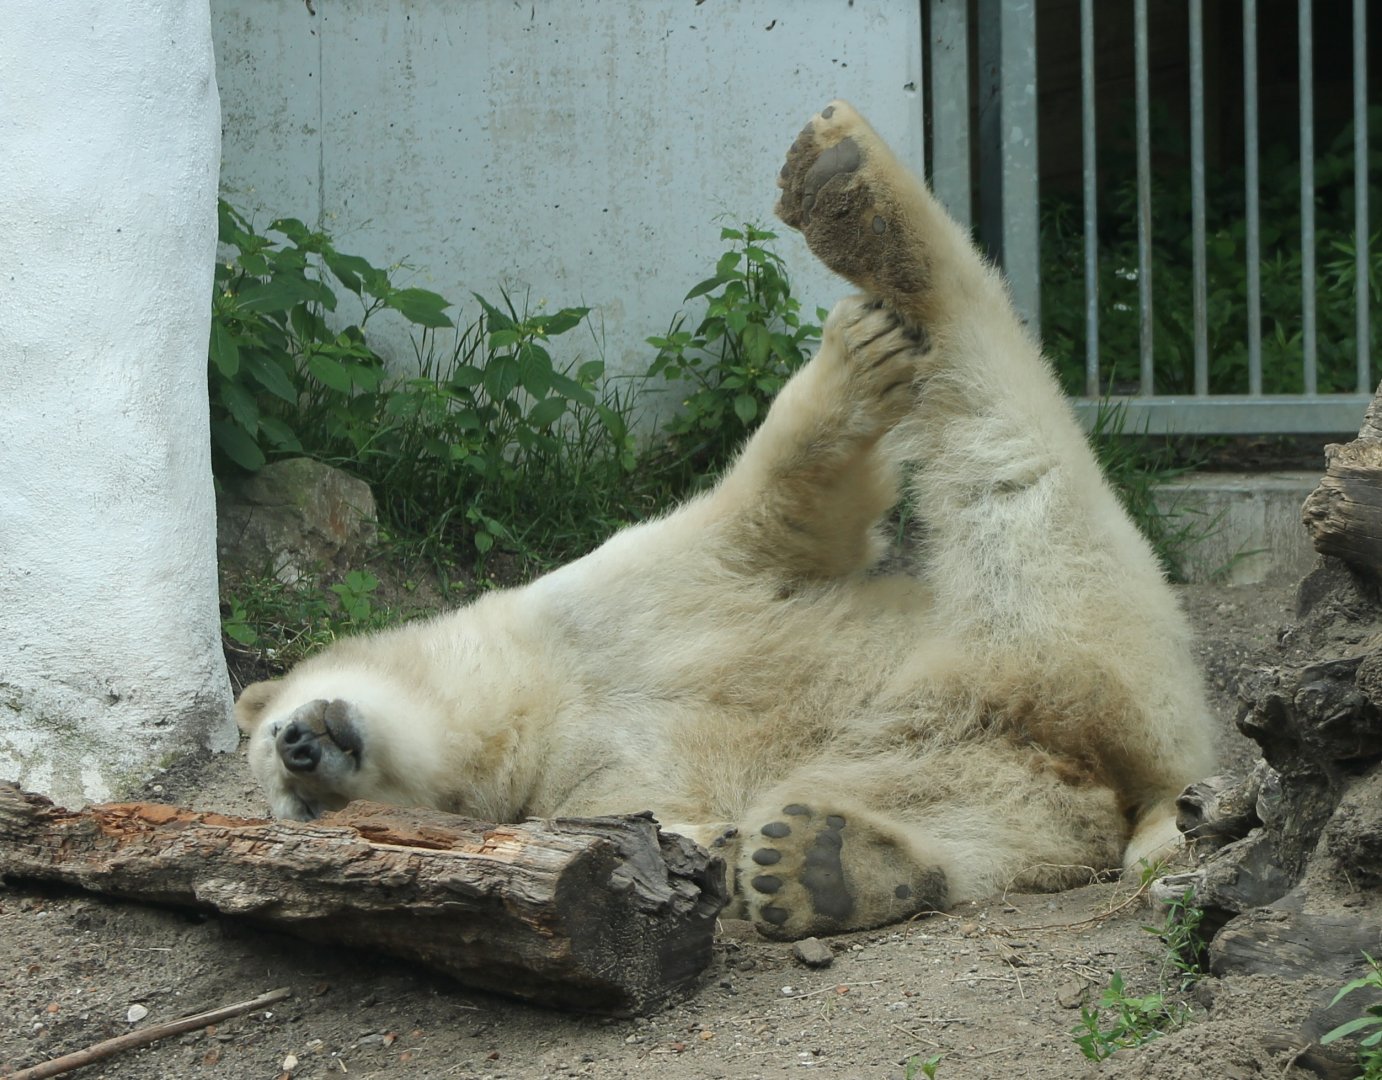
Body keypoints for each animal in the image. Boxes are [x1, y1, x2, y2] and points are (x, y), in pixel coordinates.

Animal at [236, 101, 1214, 941]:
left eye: (277, 732)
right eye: (308, 813)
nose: (300, 747)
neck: (535, 703)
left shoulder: (610, 595)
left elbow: (771, 520)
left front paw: (858, 357)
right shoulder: (585, 788)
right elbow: (667, 812)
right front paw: (726, 850)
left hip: (1048, 618)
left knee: (1007, 452)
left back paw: (850, 183)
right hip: (987, 732)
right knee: (998, 810)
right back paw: (828, 865)